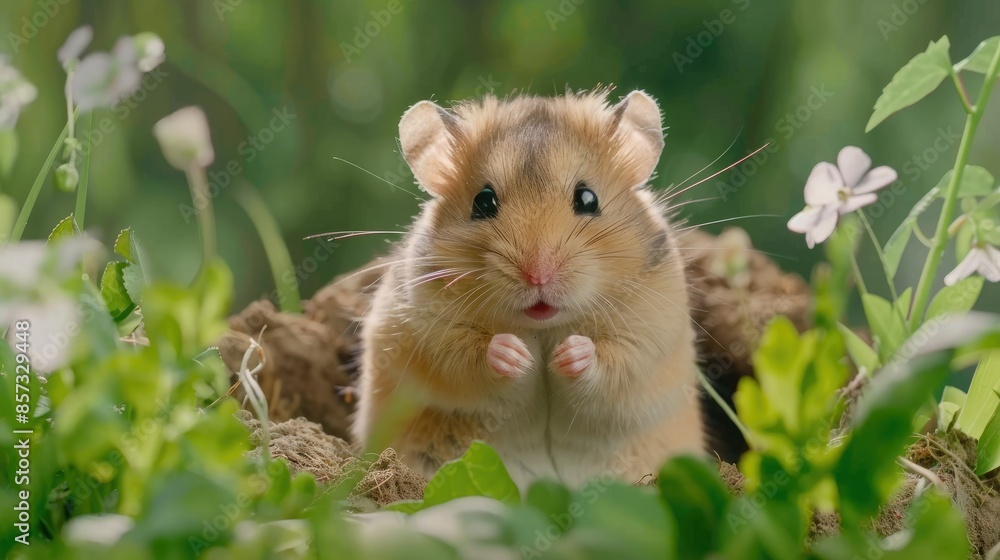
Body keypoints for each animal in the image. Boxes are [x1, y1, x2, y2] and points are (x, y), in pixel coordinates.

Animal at [351, 88, 705, 489]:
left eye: (588, 199)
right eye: (482, 202)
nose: (538, 276)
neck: (543, 326)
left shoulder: (651, 329)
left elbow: (613, 360)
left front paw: (567, 354)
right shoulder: (427, 329)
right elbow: (468, 357)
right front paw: (517, 355)